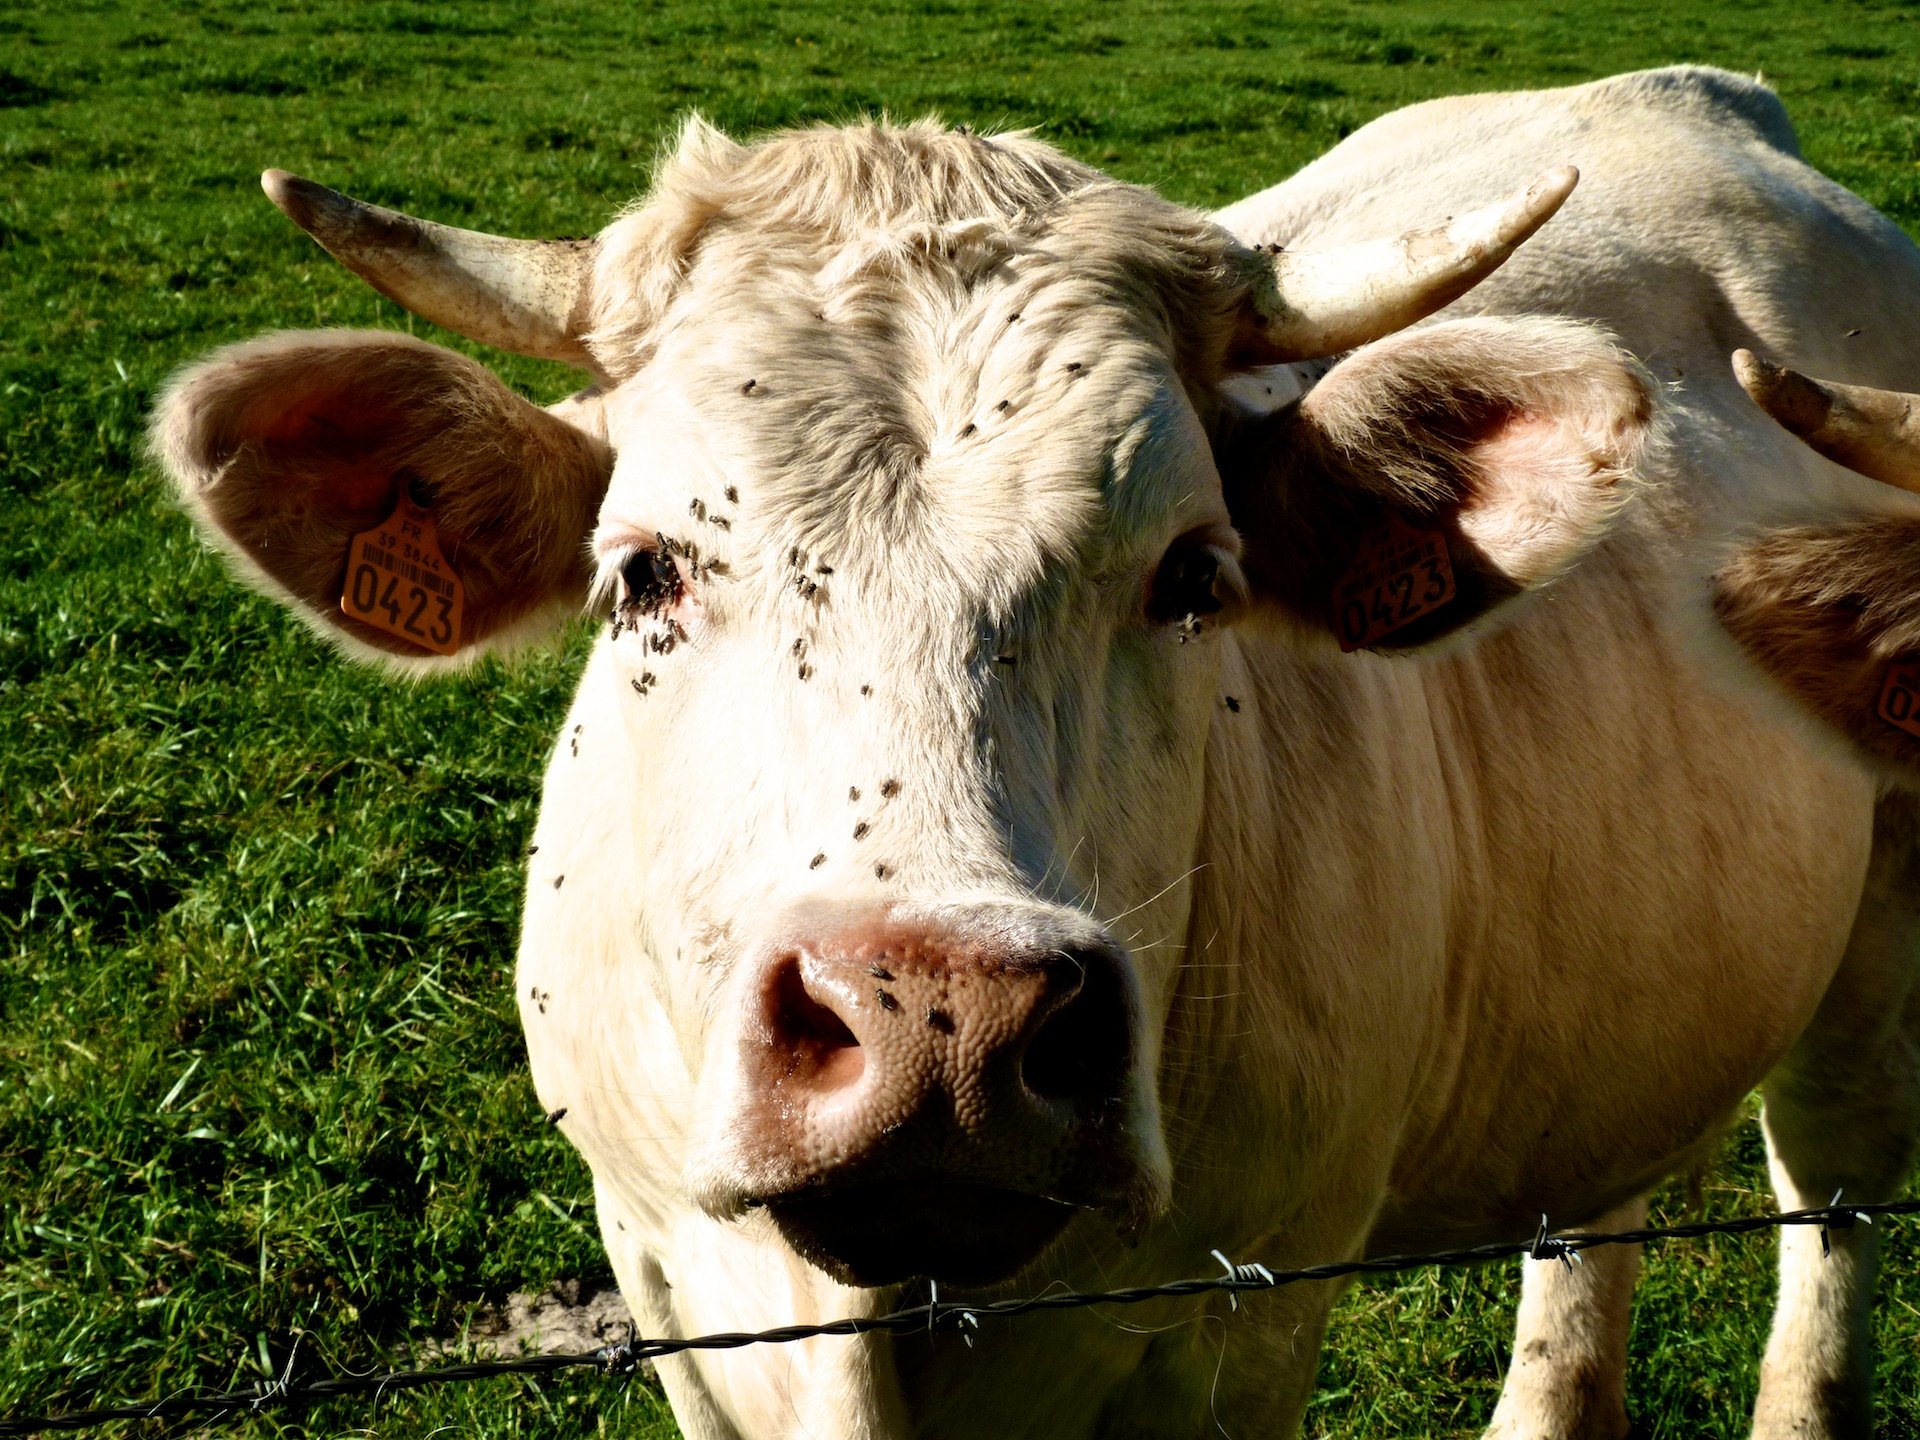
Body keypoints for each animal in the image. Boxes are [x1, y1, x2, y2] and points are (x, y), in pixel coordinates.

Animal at [157, 64, 1920, 1440]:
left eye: (1194, 576)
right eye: (643, 572)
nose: (933, 1019)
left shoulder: (1244, 1312)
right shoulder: (669, 1279)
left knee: (1829, 1208)